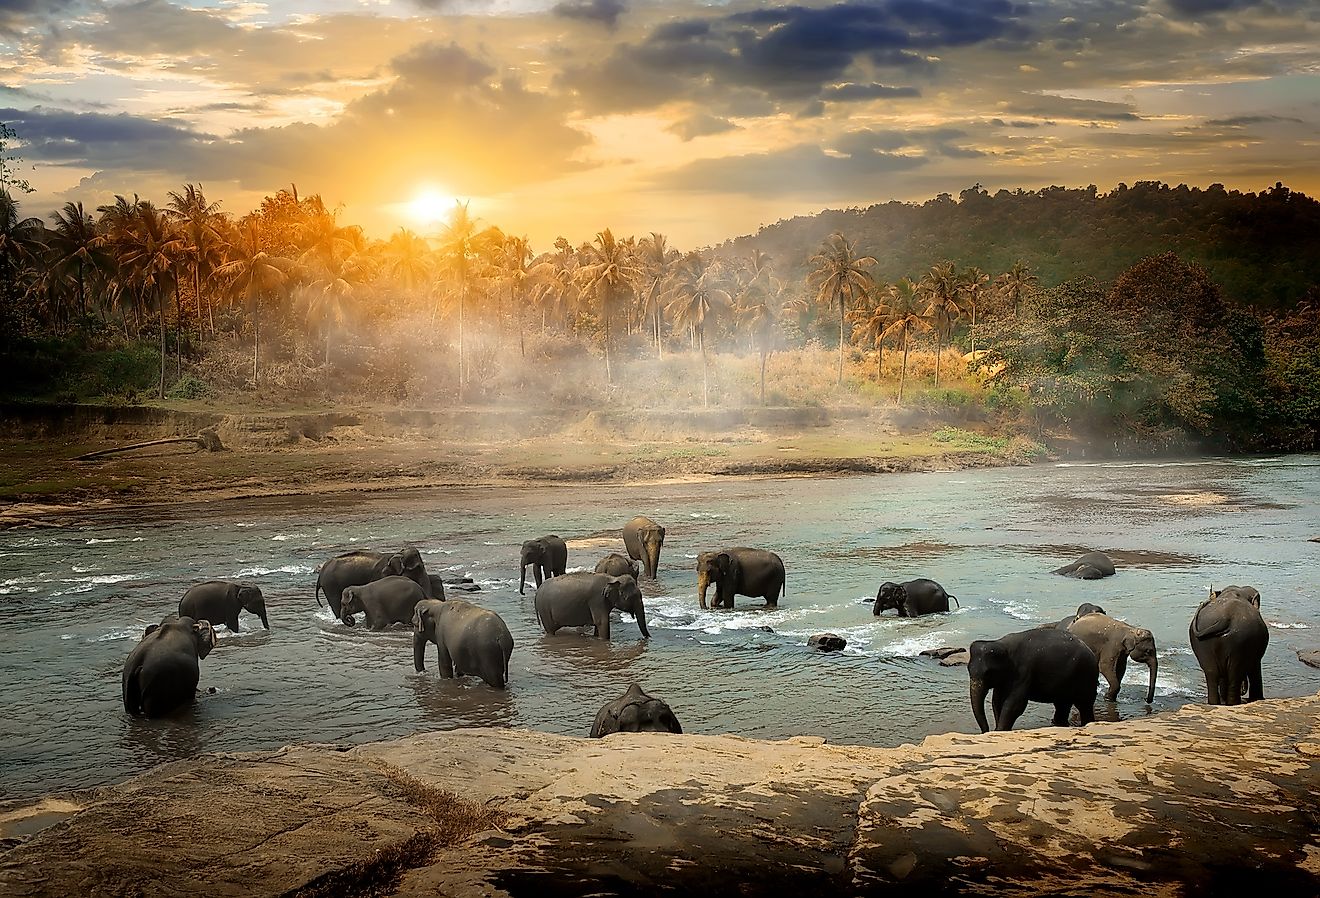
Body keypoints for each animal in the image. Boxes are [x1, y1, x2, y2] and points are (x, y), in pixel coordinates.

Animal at [966, 623, 1098, 728]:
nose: (986, 730)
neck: (1002, 644)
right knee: (1062, 704)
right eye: (968, 670)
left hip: (1086, 676)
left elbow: (1014, 705)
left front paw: (999, 730)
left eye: (988, 673)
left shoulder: (1024, 672)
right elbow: (997, 701)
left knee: (1084, 705)